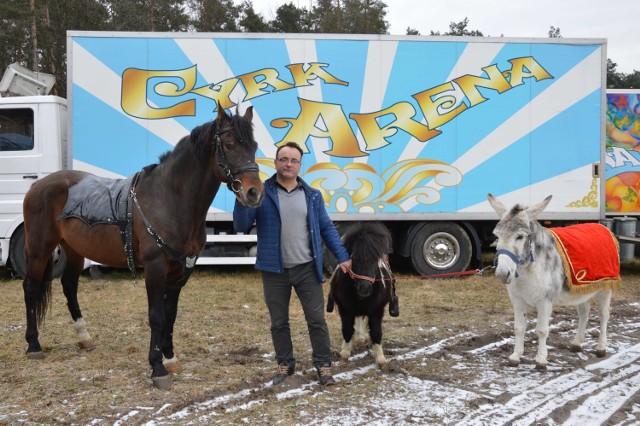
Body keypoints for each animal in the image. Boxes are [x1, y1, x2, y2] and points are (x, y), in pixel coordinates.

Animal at [20, 105, 262, 390]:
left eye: (254, 146)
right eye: (229, 144)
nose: (254, 193)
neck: (169, 200)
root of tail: (37, 185)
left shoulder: (179, 271)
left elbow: (170, 315)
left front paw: (170, 358)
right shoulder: (155, 268)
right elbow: (156, 315)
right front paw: (158, 368)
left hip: (74, 250)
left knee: (69, 286)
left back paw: (84, 338)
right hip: (40, 248)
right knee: (30, 288)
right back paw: (33, 346)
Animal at [330, 223, 396, 366]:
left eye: (375, 259)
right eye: (354, 258)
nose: (364, 289)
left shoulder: (377, 310)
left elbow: (376, 332)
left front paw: (380, 358)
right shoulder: (345, 309)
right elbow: (347, 330)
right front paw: (344, 354)